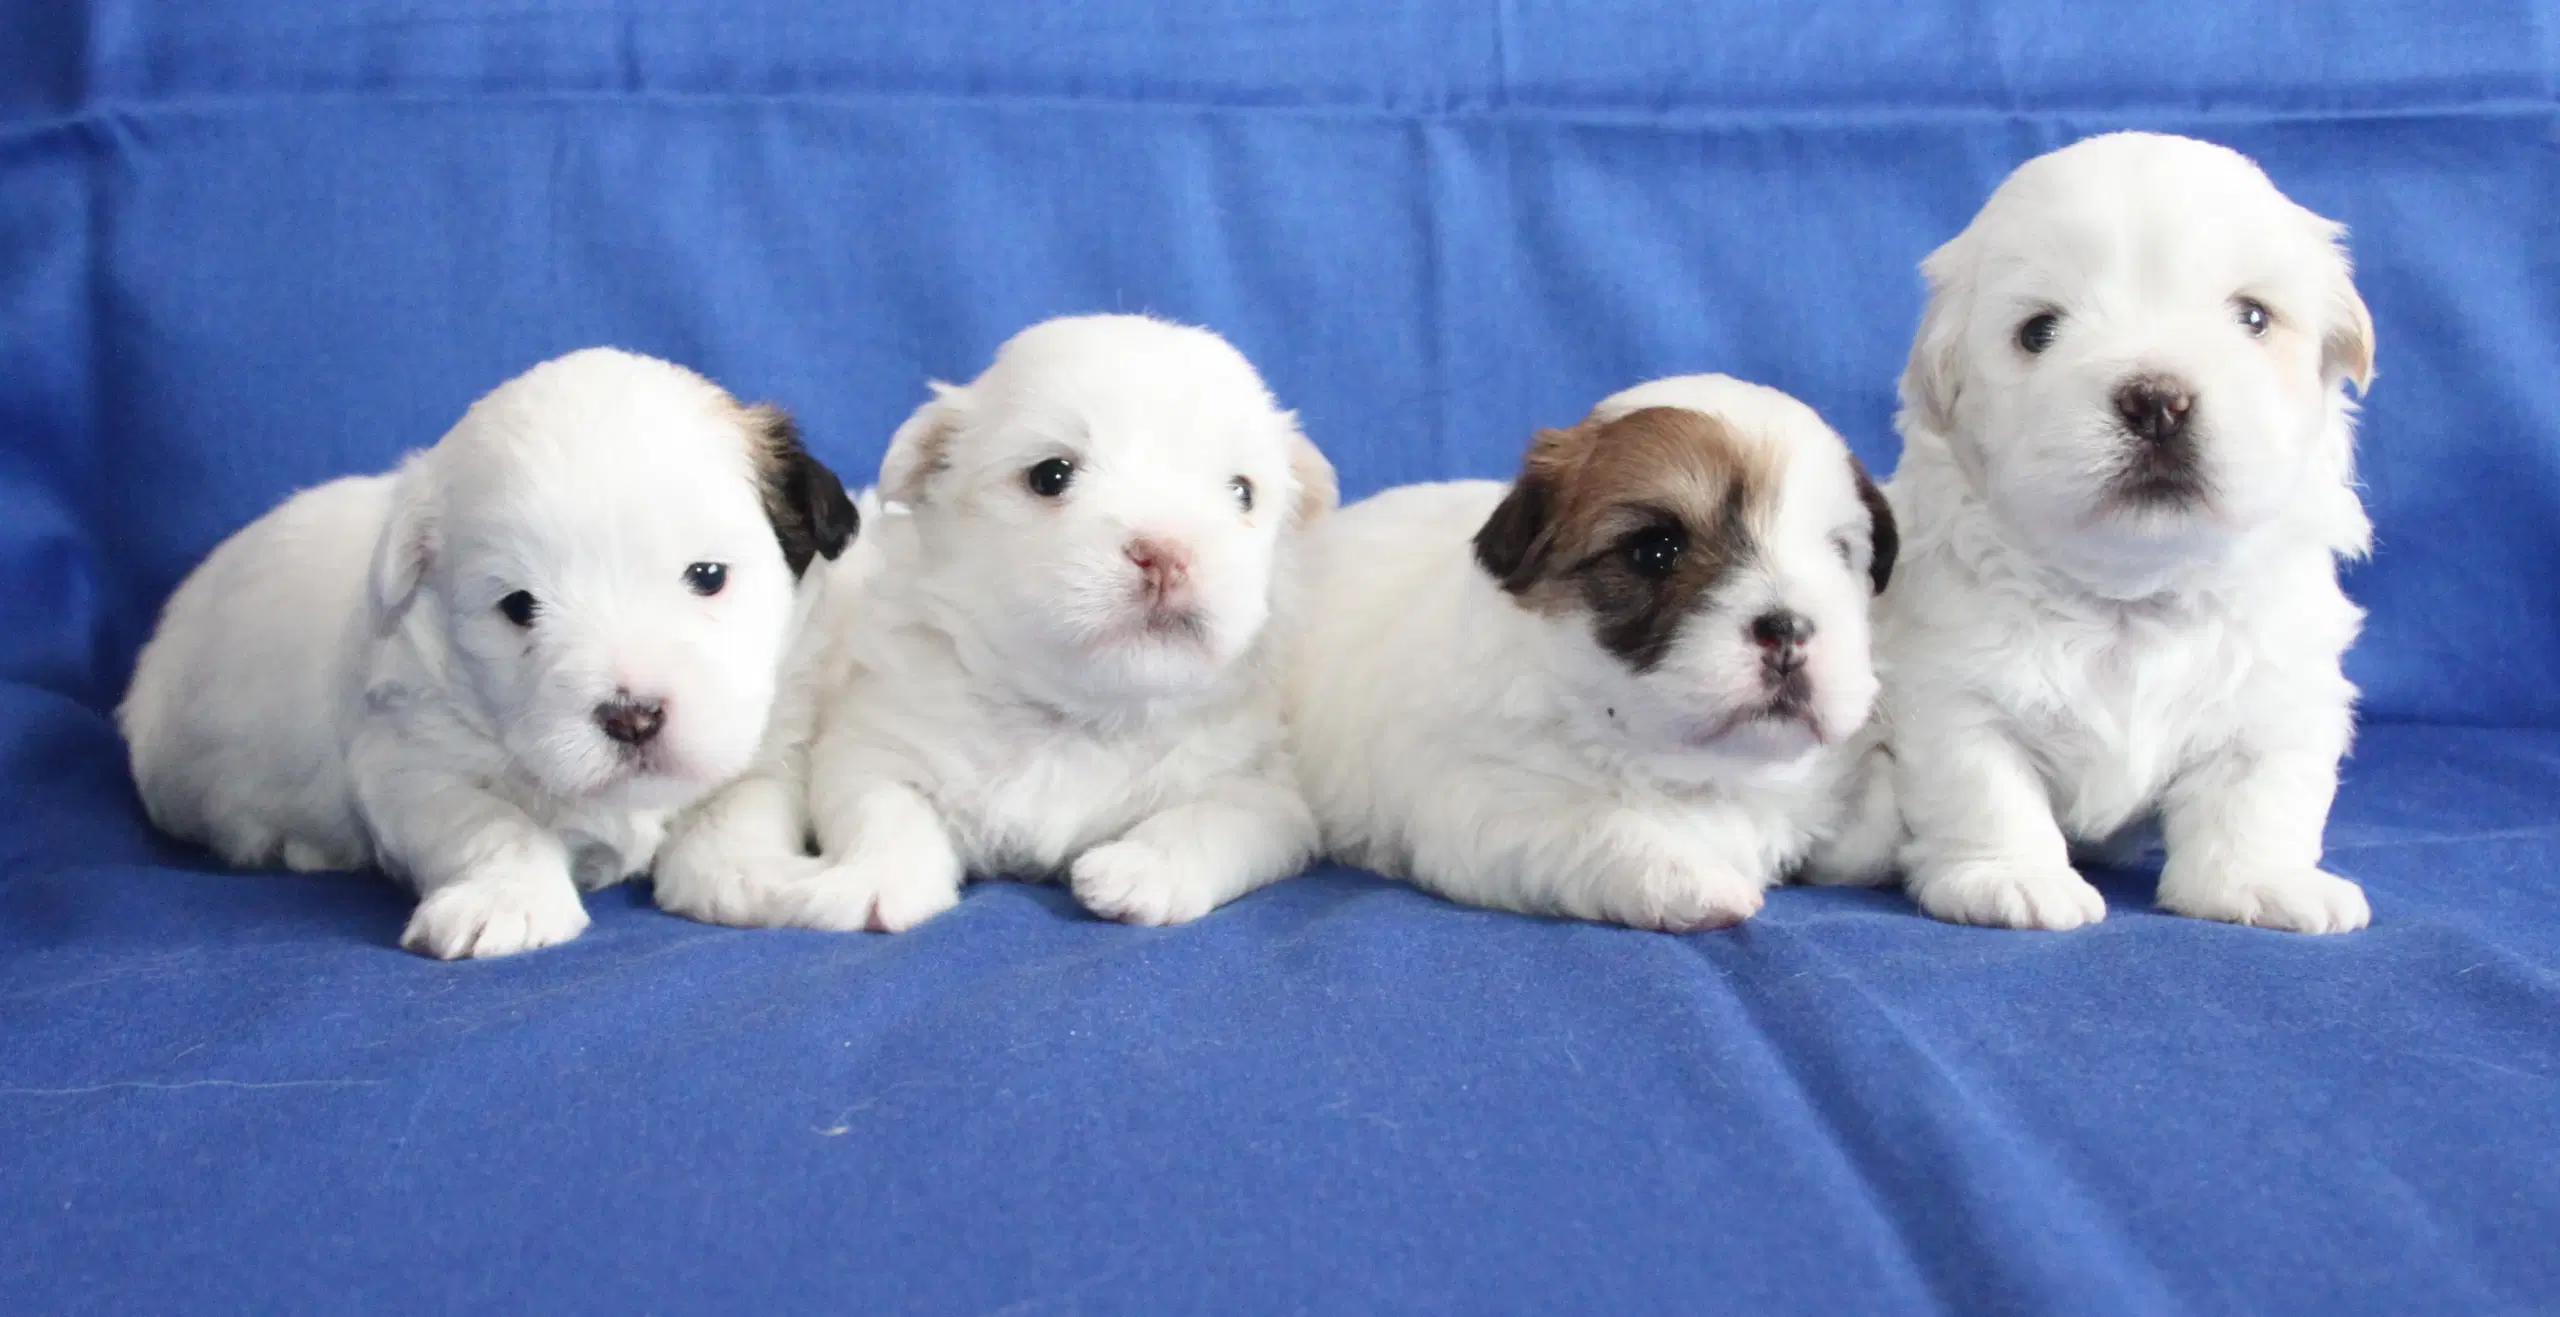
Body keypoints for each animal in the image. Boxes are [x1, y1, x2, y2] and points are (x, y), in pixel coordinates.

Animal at [655, 312, 1341, 927]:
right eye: (1051, 475)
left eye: (1241, 492)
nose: (1167, 552)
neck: (1078, 719)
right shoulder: (875, 746)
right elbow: (888, 812)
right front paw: (880, 882)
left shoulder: (1261, 787)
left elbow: (1213, 821)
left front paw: (1143, 871)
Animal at [1280, 368, 1904, 922]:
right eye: (1656, 551)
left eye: (1840, 553)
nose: (1790, 627)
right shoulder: (1487, 801)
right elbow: (1603, 826)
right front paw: (1698, 884)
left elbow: (1861, 835)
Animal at [1884, 133, 2375, 927]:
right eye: (2039, 331)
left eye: (2254, 318)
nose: (2157, 402)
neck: (2132, 602)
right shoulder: (1950, 689)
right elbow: (1984, 786)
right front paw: (2013, 878)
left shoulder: (2279, 693)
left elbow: (2260, 794)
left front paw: (2261, 882)